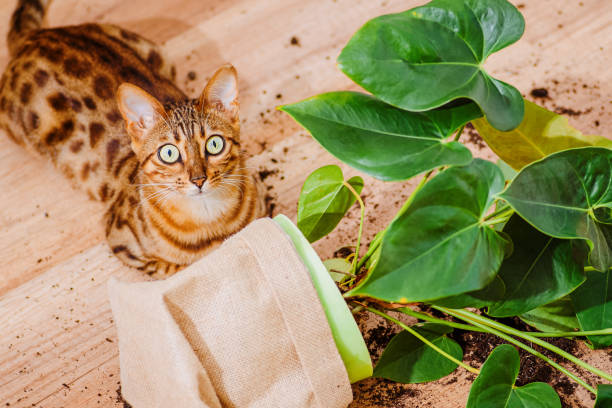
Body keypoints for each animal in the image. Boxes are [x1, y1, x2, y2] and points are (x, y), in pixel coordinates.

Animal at [0, 0, 262, 278]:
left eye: (214, 144)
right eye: (169, 153)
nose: (199, 180)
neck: (209, 221)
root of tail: (34, 36)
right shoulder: (119, 238)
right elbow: (169, 268)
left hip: (155, 52)